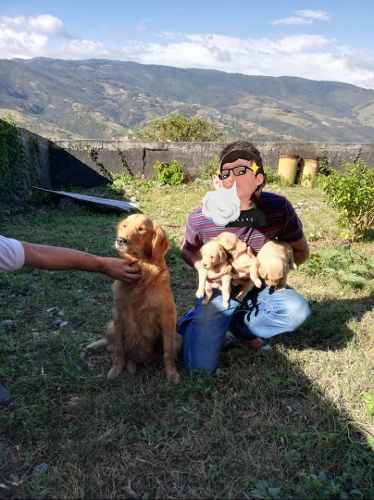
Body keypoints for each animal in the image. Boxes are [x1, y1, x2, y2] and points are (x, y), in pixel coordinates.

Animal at [88, 214, 180, 382]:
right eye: (124, 226)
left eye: (141, 229)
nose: (120, 240)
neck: (142, 270)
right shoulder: (118, 314)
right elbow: (119, 350)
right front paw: (116, 370)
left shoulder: (168, 317)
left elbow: (168, 352)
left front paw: (171, 374)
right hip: (111, 325)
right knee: (113, 346)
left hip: (178, 337)